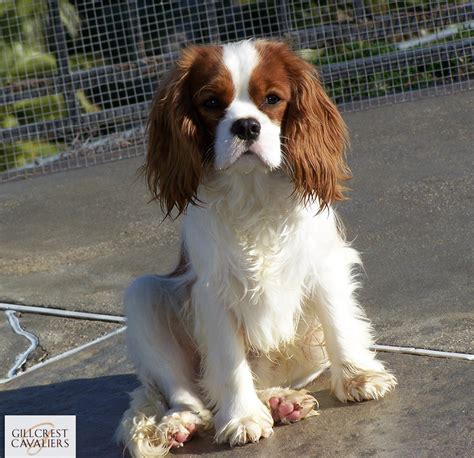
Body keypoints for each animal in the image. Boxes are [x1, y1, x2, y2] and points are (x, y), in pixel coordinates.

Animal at [117, 41, 396, 456]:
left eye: (273, 99)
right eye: (211, 102)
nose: (247, 126)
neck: (252, 190)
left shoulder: (323, 265)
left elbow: (339, 322)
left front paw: (358, 377)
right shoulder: (212, 292)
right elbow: (229, 363)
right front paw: (242, 418)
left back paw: (282, 403)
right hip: (142, 296)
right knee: (193, 395)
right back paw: (182, 423)